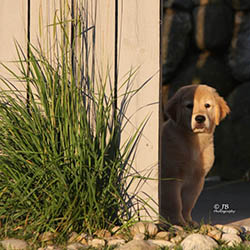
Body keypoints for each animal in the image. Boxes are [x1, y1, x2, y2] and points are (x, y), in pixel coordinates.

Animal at [161, 84, 229, 227]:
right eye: (189, 106)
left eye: (207, 105)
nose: (200, 118)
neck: (193, 142)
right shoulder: (170, 176)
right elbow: (174, 203)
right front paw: (177, 222)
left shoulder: (197, 180)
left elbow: (188, 202)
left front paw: (188, 222)